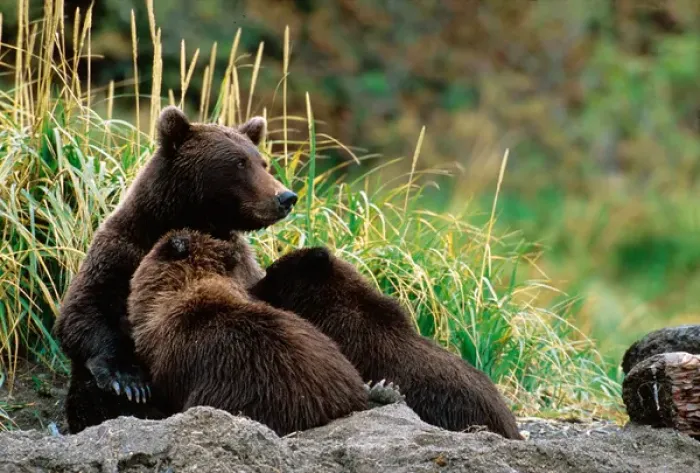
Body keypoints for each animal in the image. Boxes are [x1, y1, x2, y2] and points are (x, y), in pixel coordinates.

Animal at [54, 106, 299, 434]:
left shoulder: (244, 266)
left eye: (262, 162)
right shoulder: (121, 251)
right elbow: (82, 312)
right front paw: (128, 383)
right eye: (239, 162)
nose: (285, 197)